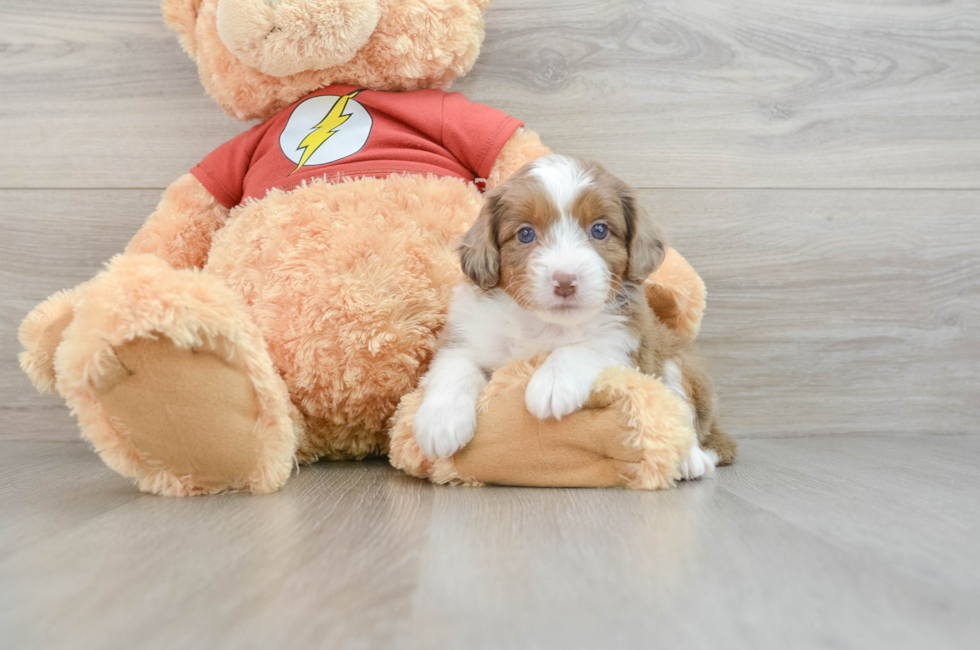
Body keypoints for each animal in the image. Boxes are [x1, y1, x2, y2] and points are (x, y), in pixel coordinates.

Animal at [412, 153, 720, 476]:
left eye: (599, 230)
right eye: (525, 234)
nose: (564, 281)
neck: (543, 324)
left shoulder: (624, 341)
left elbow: (583, 349)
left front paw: (553, 382)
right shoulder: (470, 334)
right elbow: (455, 365)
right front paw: (440, 421)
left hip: (680, 363)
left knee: (683, 410)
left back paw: (691, 458)